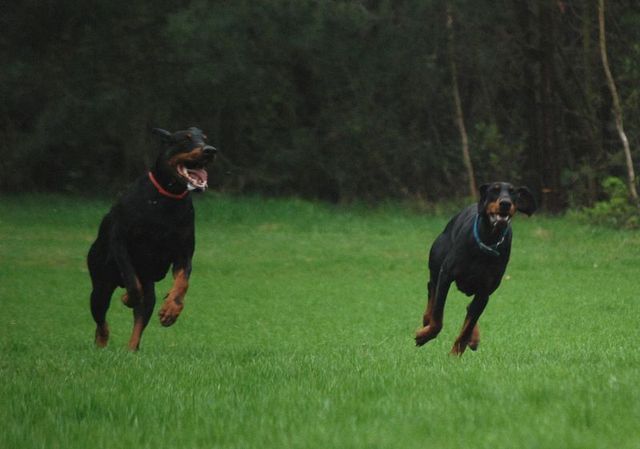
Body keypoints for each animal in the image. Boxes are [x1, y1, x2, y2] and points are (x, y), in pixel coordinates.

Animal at [87, 127, 216, 350]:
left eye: (205, 139)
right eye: (184, 139)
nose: (210, 150)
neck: (167, 197)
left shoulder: (183, 253)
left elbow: (182, 282)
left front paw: (171, 311)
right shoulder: (120, 242)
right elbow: (132, 282)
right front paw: (127, 297)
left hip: (148, 288)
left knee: (141, 318)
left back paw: (131, 350)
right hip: (101, 285)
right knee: (101, 317)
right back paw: (102, 340)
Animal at [415, 182, 536, 355]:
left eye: (513, 192)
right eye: (494, 190)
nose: (505, 203)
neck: (487, 241)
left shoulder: (485, 291)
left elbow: (467, 327)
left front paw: (454, 355)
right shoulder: (446, 275)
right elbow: (438, 317)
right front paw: (423, 336)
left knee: (470, 310)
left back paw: (474, 337)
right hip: (436, 264)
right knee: (431, 287)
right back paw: (426, 319)